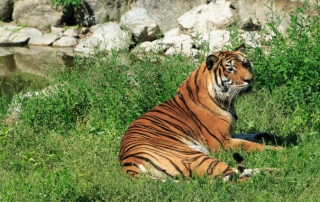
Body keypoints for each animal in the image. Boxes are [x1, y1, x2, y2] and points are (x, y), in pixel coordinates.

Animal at [119, 43, 282, 180]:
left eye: (245, 64)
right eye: (230, 69)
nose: (250, 79)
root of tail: (131, 165)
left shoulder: (229, 133)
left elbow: (251, 135)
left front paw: (274, 137)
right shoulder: (221, 142)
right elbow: (250, 145)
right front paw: (279, 149)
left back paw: (274, 171)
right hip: (195, 156)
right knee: (233, 177)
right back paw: (274, 174)